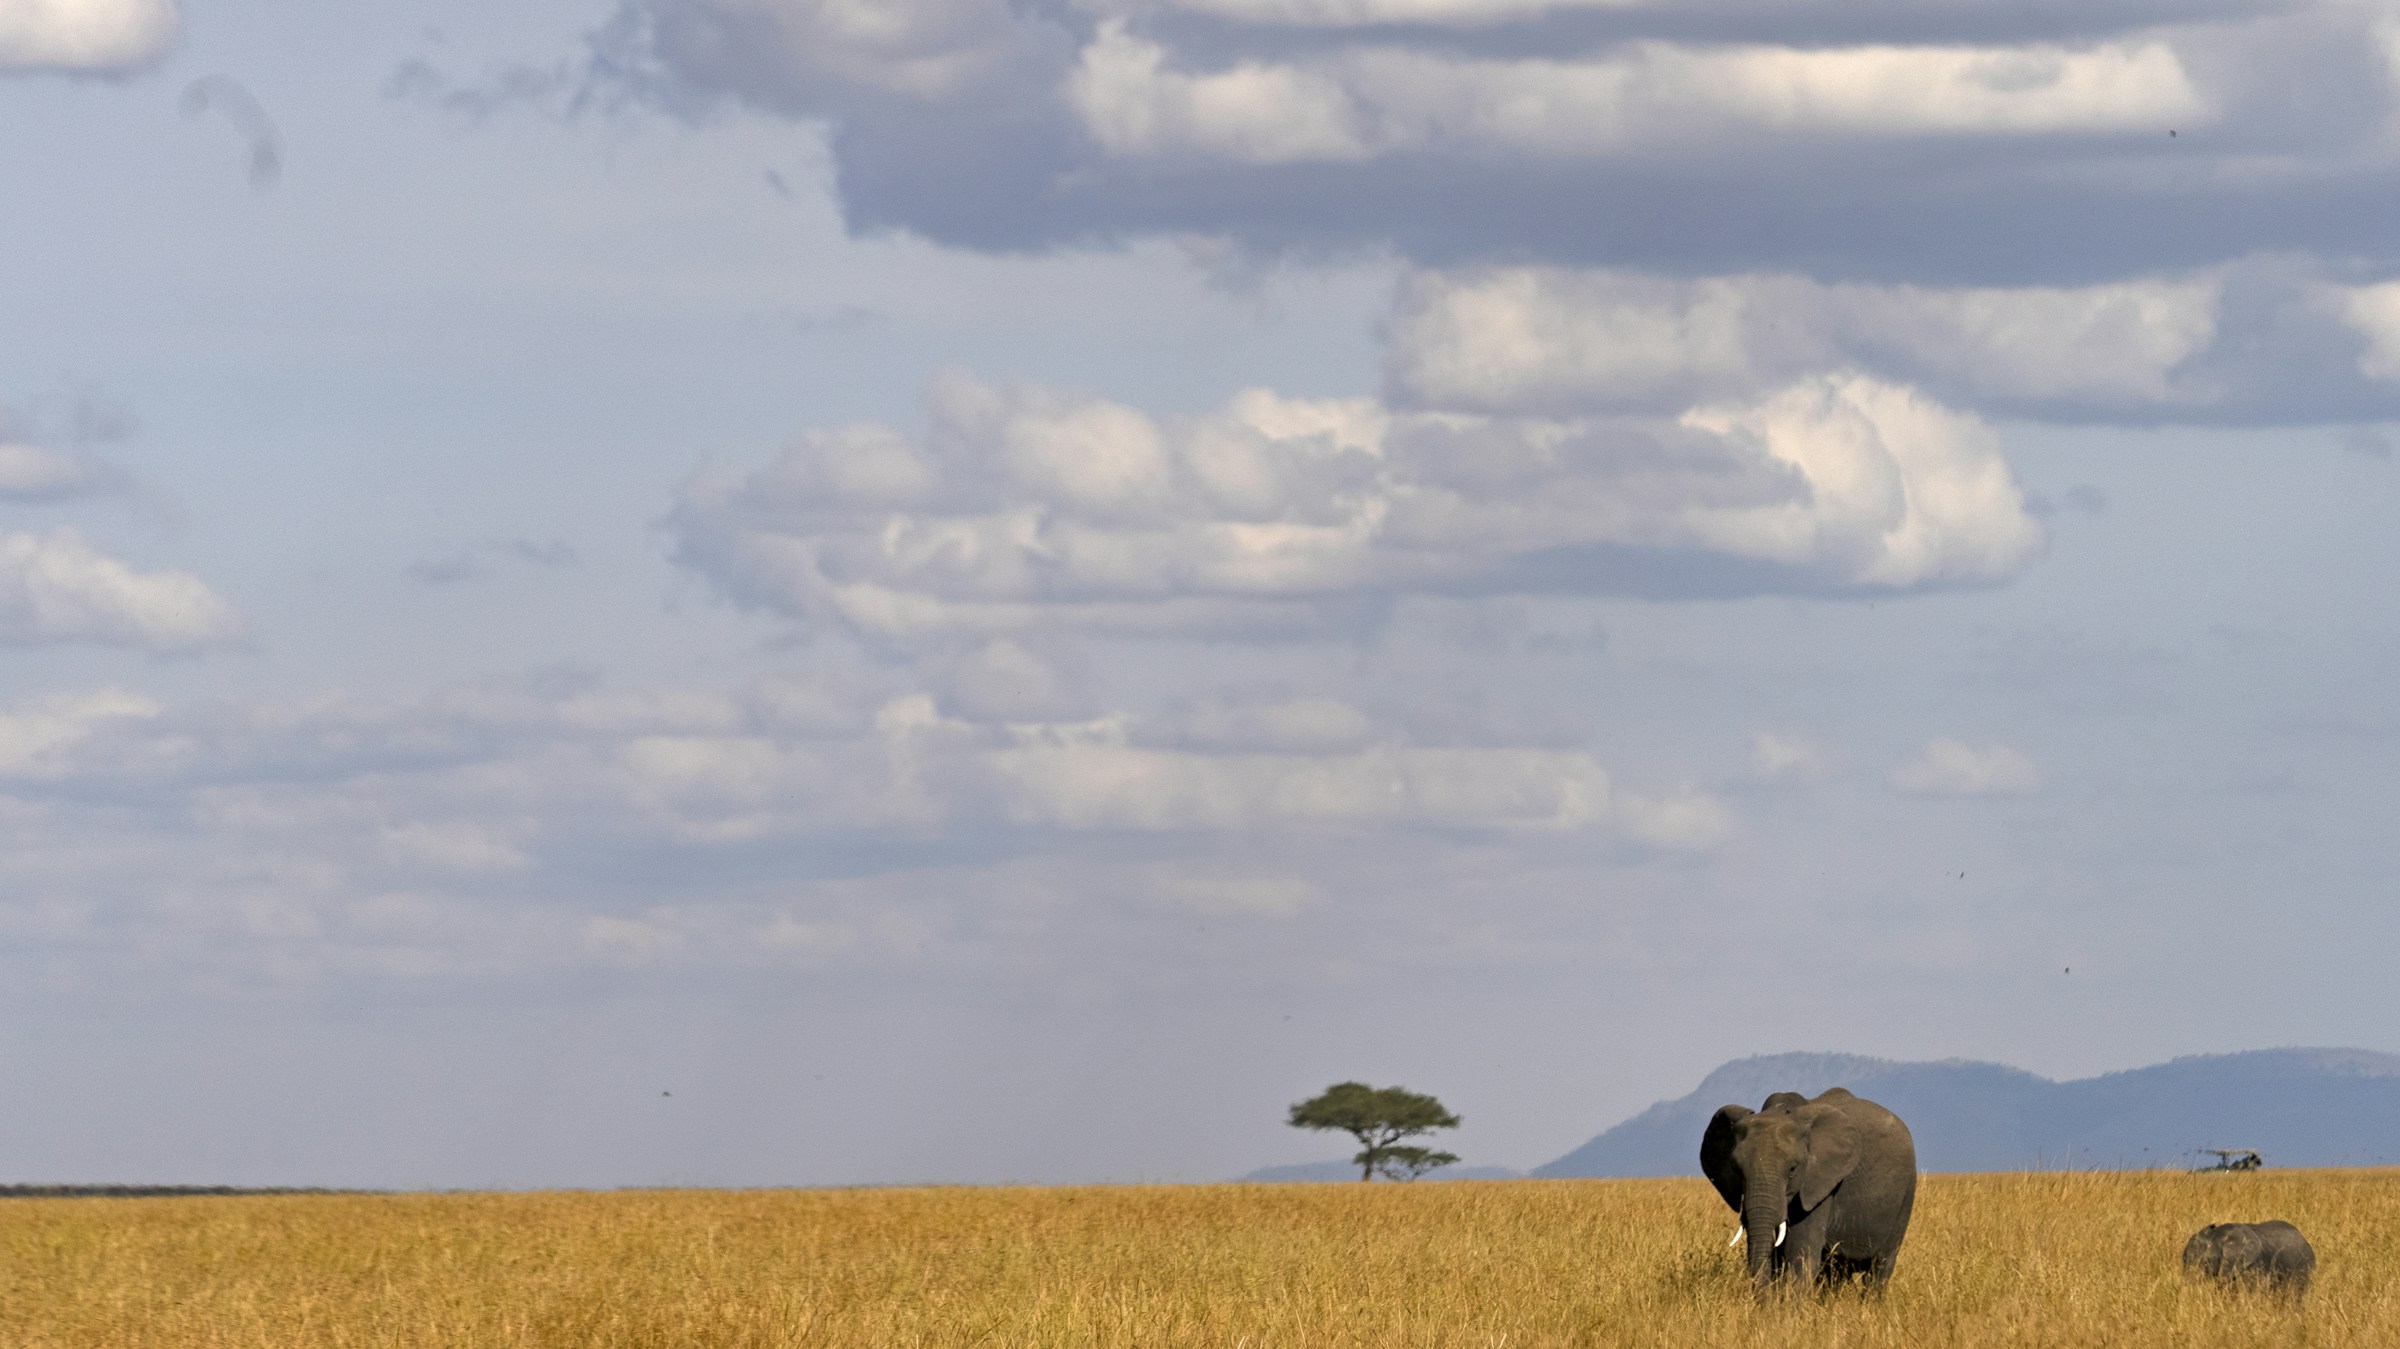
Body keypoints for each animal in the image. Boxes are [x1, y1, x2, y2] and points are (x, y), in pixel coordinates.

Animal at [1700, 1087, 1918, 1290]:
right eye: (1736, 1169)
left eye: (1792, 1170)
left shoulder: (1820, 1183)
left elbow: (1801, 1254)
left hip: (1906, 1194)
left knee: (1880, 1268)